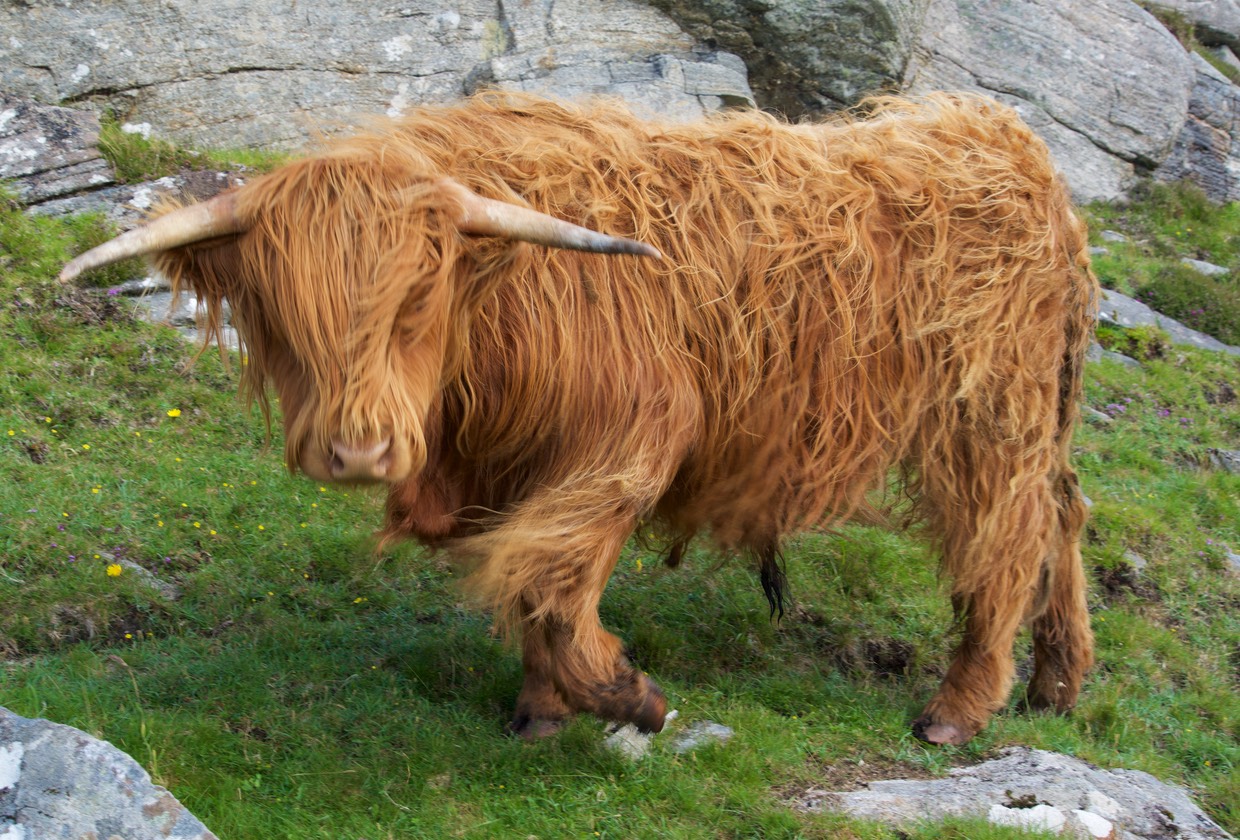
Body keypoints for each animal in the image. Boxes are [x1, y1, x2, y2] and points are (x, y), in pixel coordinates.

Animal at [61, 92, 1097, 746]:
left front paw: (632, 700)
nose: (359, 450)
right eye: (277, 312)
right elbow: (525, 586)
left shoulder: (627, 441)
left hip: (989, 416)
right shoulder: (509, 471)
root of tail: (1008, 140)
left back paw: (959, 707)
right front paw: (541, 713)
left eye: (417, 296)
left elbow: (553, 586)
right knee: (1065, 513)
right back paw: (1058, 683)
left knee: (1008, 539)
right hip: (1037, 418)